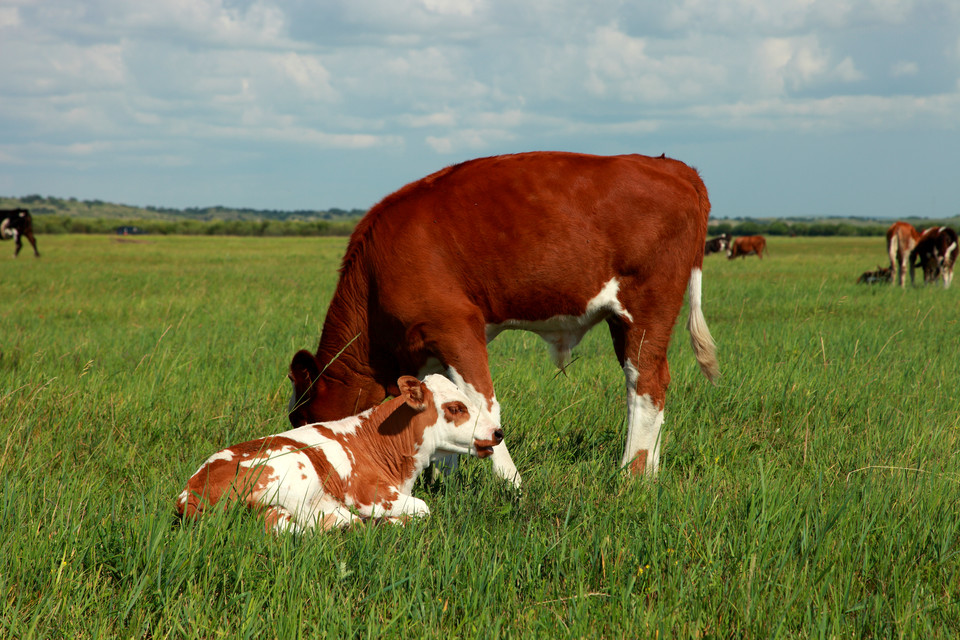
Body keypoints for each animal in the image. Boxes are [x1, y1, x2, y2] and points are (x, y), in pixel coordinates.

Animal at [176, 376, 502, 536]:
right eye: (456, 407)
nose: (498, 432)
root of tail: (191, 491)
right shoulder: (370, 494)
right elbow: (424, 508)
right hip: (296, 473)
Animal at [288, 151, 716, 484]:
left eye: (303, 420)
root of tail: (672, 166)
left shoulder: (455, 325)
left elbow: (483, 405)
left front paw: (513, 485)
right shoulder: (430, 347)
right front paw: (445, 480)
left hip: (646, 305)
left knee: (645, 383)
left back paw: (632, 474)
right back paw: (651, 472)